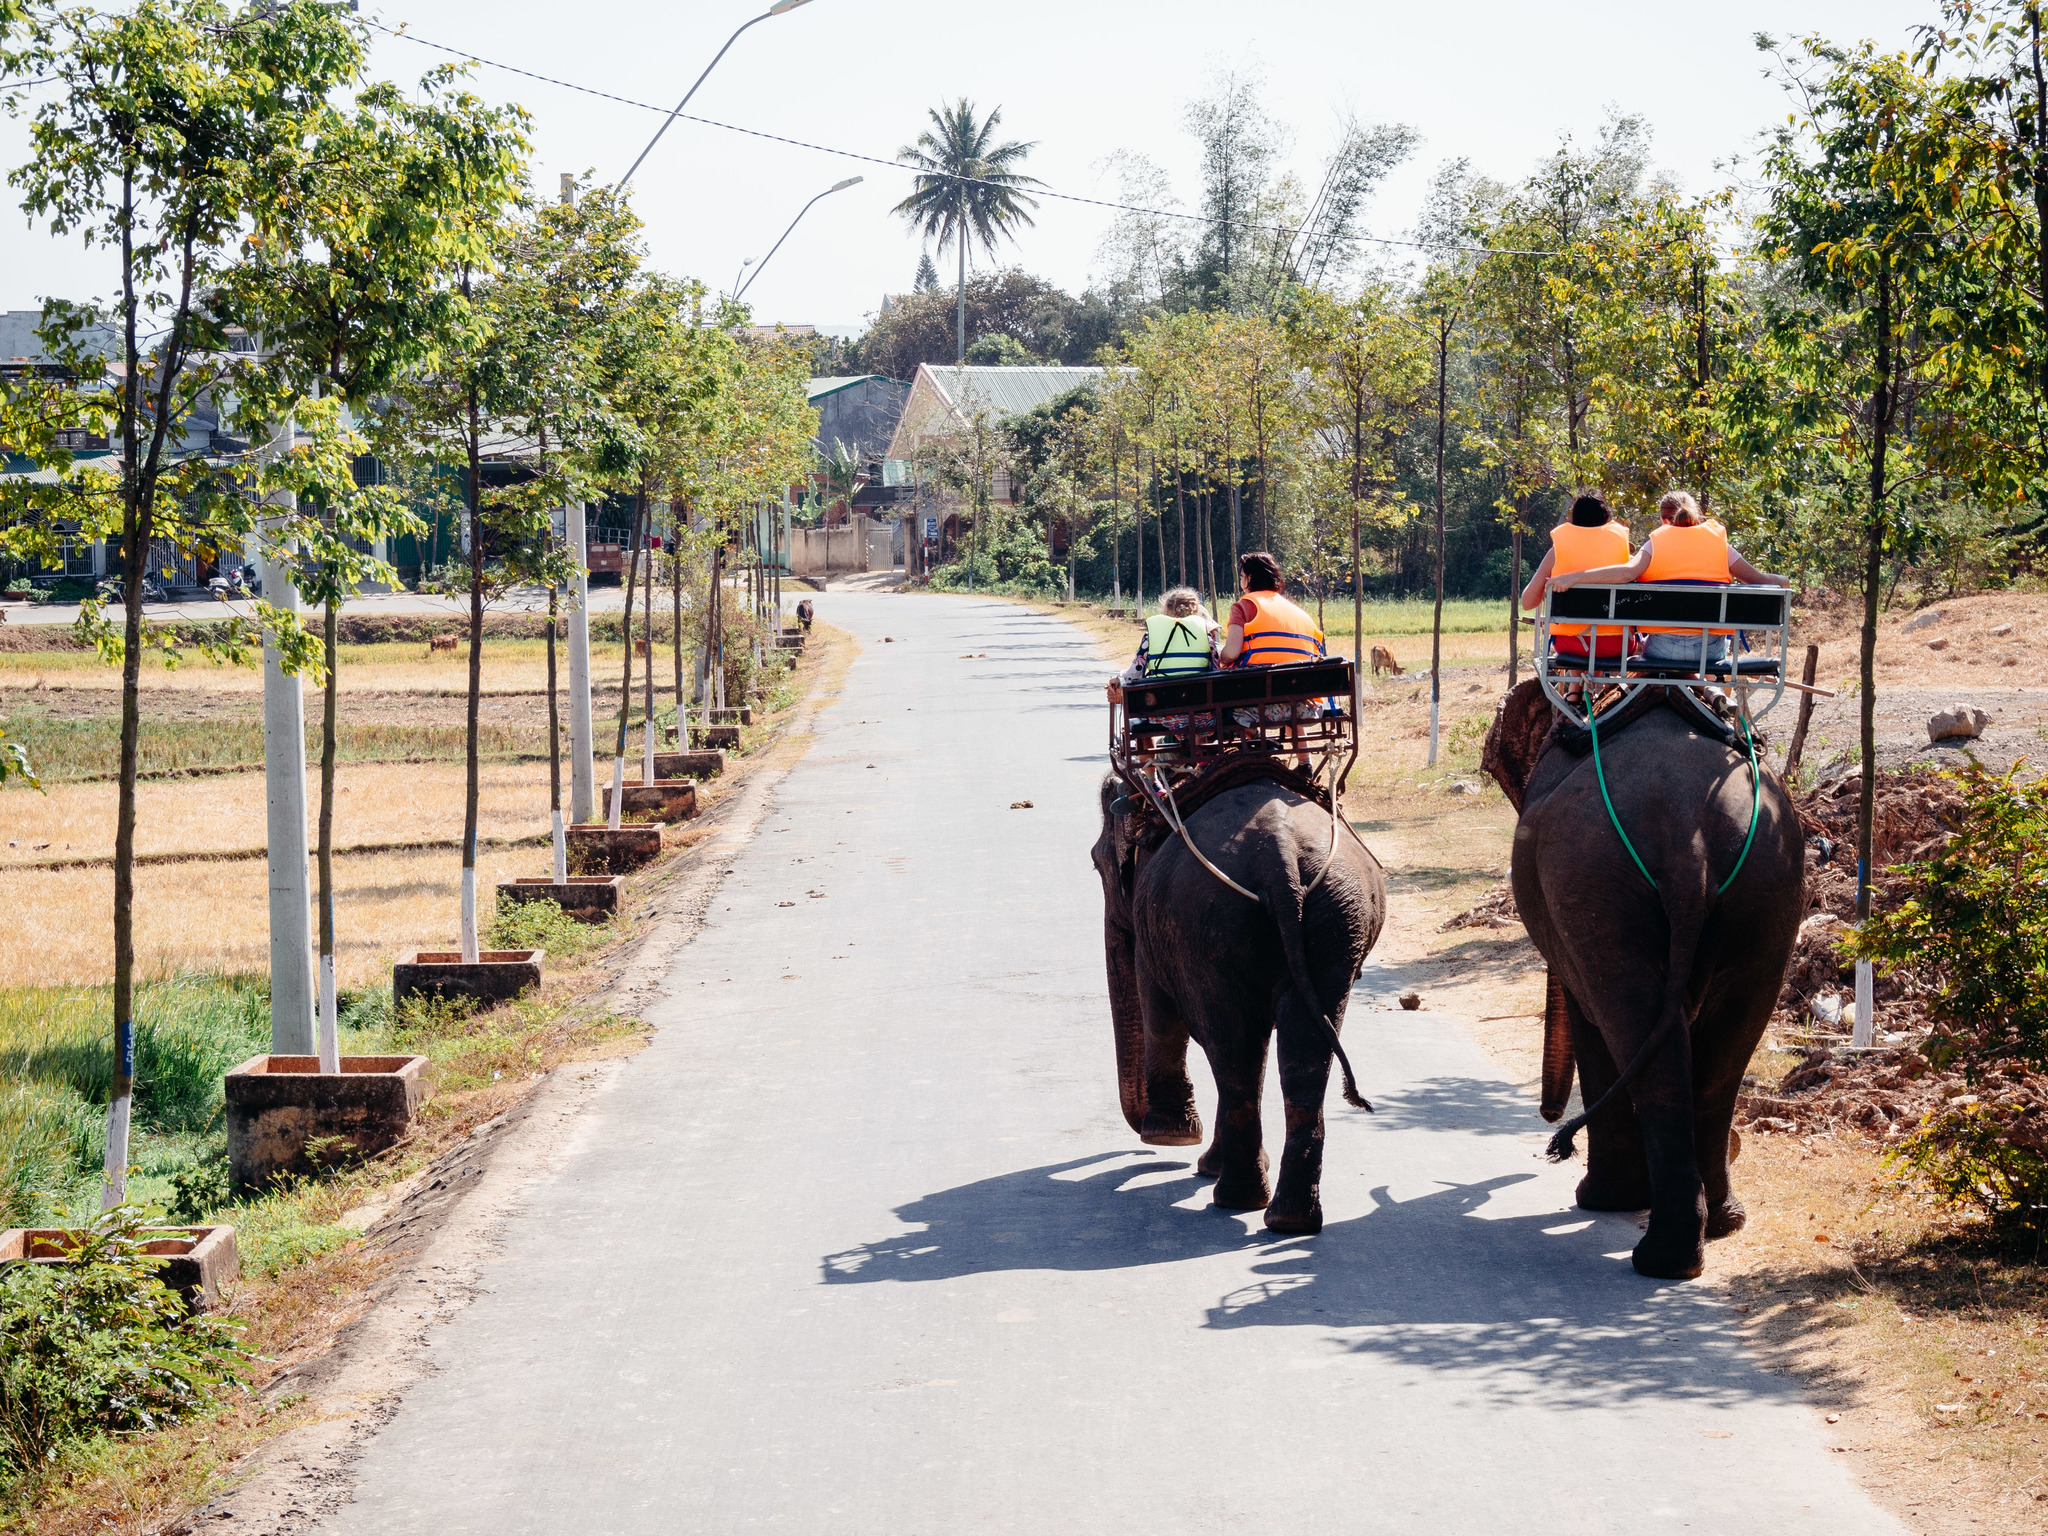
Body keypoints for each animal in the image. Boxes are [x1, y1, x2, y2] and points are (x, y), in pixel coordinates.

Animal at [1089, 770, 1392, 1236]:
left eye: (1096, 862)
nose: (1137, 1151)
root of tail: (1277, 857)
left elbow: (1158, 1005)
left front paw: (1168, 1136)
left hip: (1207, 922)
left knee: (1233, 1049)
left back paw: (1236, 1198)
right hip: (1337, 918)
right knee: (1296, 1055)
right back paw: (1288, 1218)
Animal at [1482, 684, 1802, 1286]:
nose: (1551, 1127)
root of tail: (1688, 836)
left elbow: (1587, 1016)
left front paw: (1600, 1201)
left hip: (1596, 881)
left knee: (1627, 1021)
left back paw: (1660, 1256)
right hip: (1769, 882)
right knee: (1726, 1046)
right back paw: (1717, 1225)